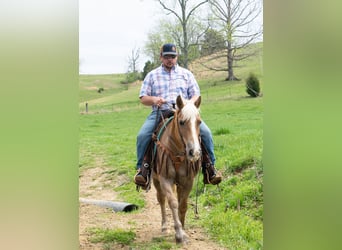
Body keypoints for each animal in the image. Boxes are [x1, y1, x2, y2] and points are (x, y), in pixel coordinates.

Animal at [153, 94, 203, 243]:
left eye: (199, 122)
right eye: (181, 122)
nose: (194, 152)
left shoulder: (188, 181)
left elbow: (183, 205)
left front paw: (183, 229)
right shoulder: (165, 179)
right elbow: (173, 203)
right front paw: (179, 233)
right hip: (155, 180)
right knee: (161, 199)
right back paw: (164, 226)